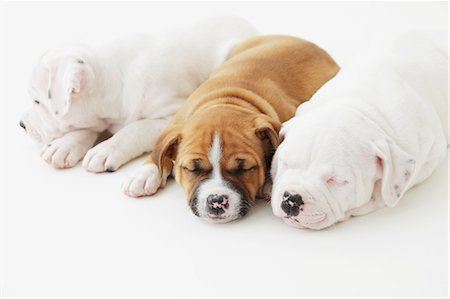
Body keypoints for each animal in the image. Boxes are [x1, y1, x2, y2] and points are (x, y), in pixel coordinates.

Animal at [21, 16, 258, 173]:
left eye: (37, 101)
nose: (21, 125)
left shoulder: (173, 114)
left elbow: (135, 129)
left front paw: (106, 149)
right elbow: (86, 127)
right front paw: (65, 145)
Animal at [121, 34, 340, 223]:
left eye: (244, 169)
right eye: (193, 169)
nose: (217, 201)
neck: (227, 100)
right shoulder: (175, 123)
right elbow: (160, 152)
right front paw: (145, 173)